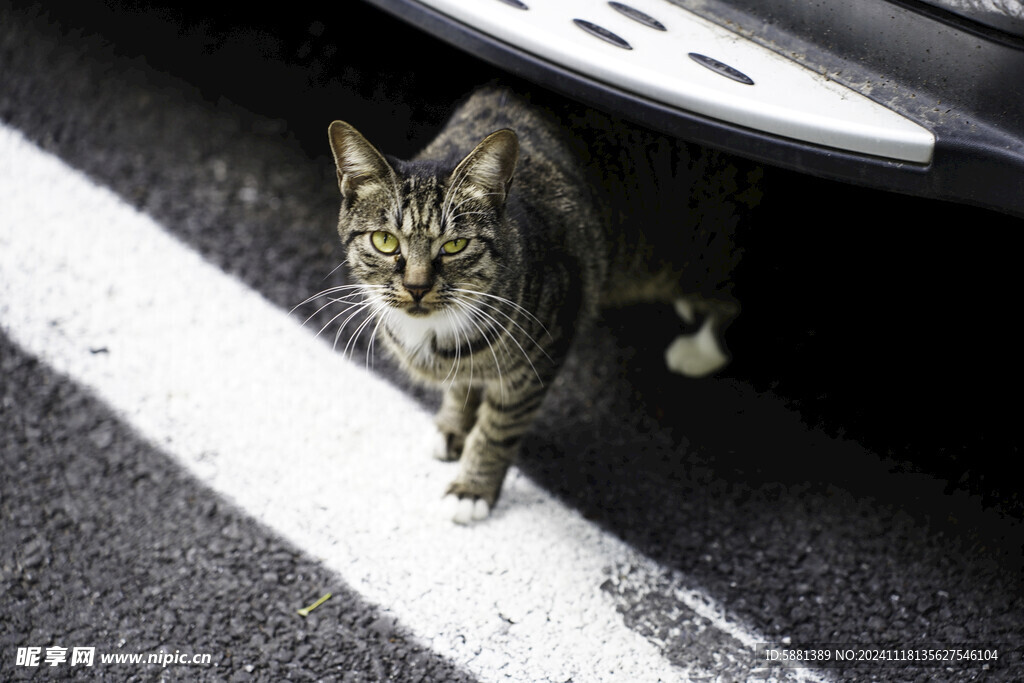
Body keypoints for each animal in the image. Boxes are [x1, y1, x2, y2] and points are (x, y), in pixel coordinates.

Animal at [325, 85, 761, 524]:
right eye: (385, 241)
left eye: (455, 245)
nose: (416, 287)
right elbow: (462, 387)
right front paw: (452, 427)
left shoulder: (538, 359)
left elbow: (496, 430)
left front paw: (472, 488)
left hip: (700, 258)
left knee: (732, 298)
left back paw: (700, 349)